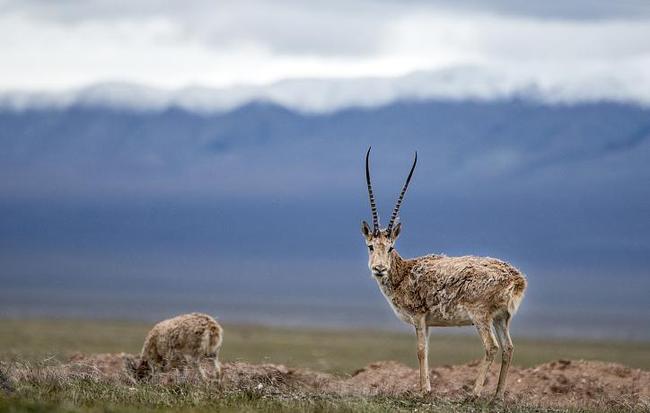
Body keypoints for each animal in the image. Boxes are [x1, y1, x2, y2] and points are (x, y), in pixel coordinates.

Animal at [362, 147, 524, 396]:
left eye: (391, 247)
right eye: (371, 246)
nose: (379, 268)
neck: (405, 273)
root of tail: (515, 278)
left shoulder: (418, 317)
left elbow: (420, 350)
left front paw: (423, 391)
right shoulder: (428, 323)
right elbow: (427, 350)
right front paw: (427, 388)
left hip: (481, 317)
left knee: (492, 347)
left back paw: (475, 394)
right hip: (501, 318)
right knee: (508, 348)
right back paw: (497, 396)